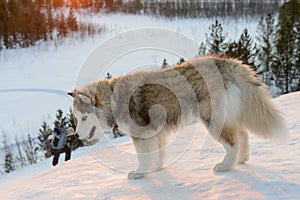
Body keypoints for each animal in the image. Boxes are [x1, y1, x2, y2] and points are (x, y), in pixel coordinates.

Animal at [68, 55, 288, 179]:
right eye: (77, 119)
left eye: (84, 118)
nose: (76, 136)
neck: (113, 97)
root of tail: (225, 63)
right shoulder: (156, 133)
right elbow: (157, 154)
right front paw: (157, 168)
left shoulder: (141, 135)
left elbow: (143, 157)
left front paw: (140, 173)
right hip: (228, 116)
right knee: (243, 135)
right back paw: (241, 160)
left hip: (212, 120)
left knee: (233, 142)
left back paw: (225, 166)